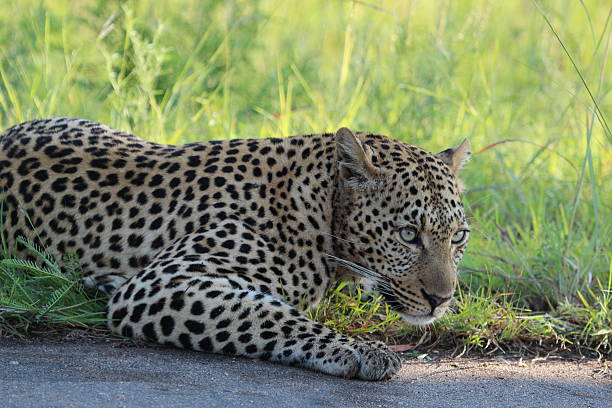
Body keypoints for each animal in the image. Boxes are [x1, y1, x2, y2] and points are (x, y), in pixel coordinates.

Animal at [0, 117, 470, 380]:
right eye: (408, 234)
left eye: (458, 237)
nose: (442, 300)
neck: (316, 207)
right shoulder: (164, 283)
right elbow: (270, 313)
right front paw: (361, 349)